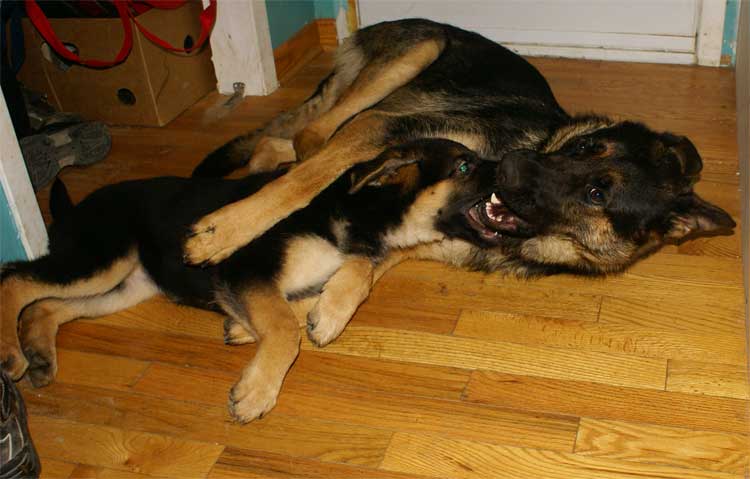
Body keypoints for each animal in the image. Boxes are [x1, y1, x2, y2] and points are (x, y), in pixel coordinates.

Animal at [1, 140, 500, 424]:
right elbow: (282, 328)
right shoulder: (245, 270)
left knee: (46, 305)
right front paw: (257, 390)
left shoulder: (319, 269)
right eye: (464, 166)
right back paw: (11, 354)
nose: (513, 167)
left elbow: (353, 275)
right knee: (15, 279)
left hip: (120, 286)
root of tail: (74, 210)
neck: (361, 211)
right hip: (100, 259)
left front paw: (320, 316)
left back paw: (39, 354)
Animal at [185, 18, 736, 276]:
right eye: (584, 147)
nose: (509, 167)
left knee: (284, 142)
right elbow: (305, 182)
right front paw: (222, 232)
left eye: (598, 195)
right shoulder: (384, 127)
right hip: (417, 54)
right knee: (310, 139)